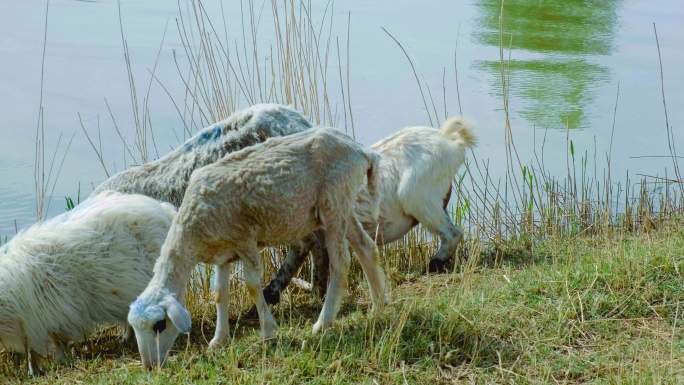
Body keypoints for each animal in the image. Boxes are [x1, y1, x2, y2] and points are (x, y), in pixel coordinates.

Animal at [0, 190, 176, 374]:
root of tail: (165, 210)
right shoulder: (31, 323)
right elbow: (32, 350)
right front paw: (34, 370)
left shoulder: (52, 316)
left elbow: (56, 342)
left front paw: (60, 362)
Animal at [125, 127, 388, 368]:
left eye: (159, 325)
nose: (149, 367)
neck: (191, 235)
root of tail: (360, 151)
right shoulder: (223, 254)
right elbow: (219, 293)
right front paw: (219, 340)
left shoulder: (245, 239)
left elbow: (252, 286)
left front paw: (269, 331)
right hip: (343, 206)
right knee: (366, 247)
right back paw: (378, 307)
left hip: (333, 202)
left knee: (341, 261)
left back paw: (323, 323)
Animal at [260, 117, 476, 304]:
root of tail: (450, 140)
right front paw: (269, 295)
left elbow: (316, 267)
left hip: (418, 198)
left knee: (453, 233)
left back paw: (434, 264)